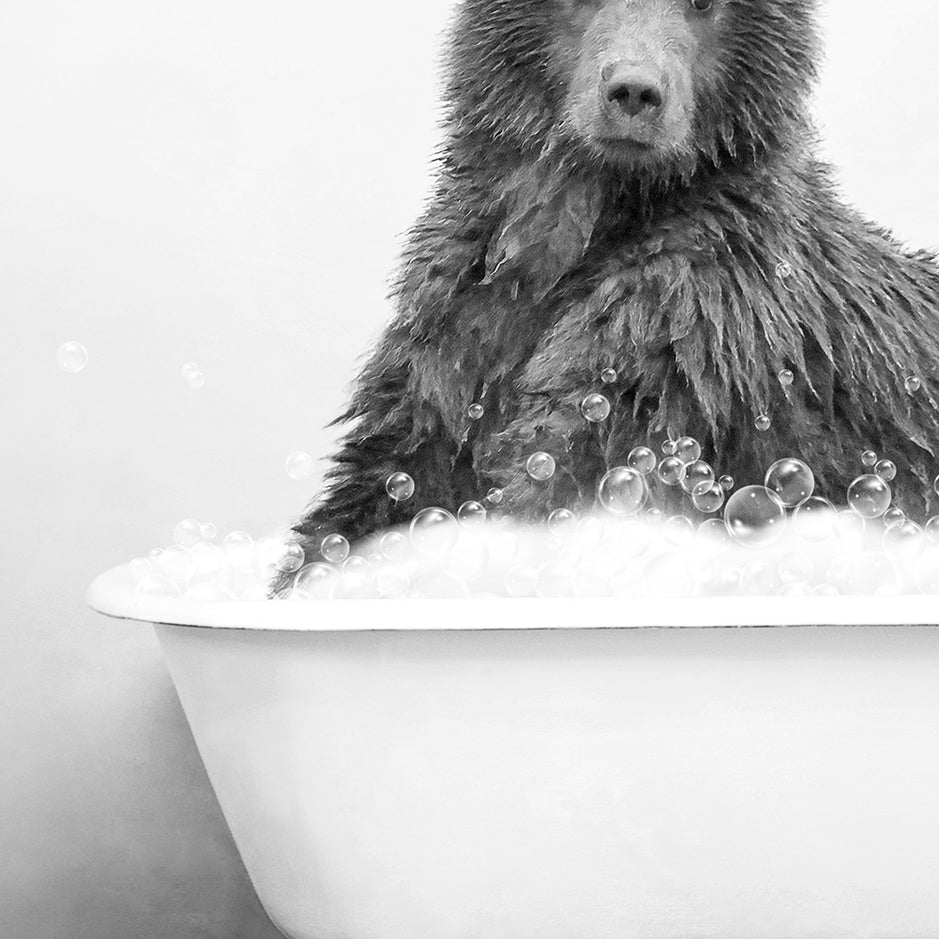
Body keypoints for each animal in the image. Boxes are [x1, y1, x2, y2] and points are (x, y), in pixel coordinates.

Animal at [268, 0, 939, 592]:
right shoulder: (454, 336)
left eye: (704, 2)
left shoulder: (682, 338)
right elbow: (383, 482)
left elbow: (565, 470)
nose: (634, 91)